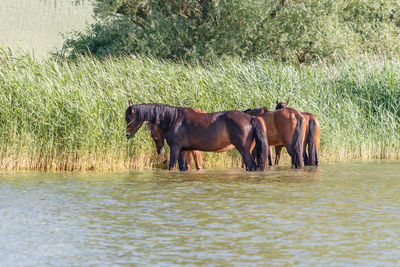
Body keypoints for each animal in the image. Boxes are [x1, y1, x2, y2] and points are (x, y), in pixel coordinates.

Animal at [126, 101, 268, 173]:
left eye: (128, 118)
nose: (127, 135)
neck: (174, 119)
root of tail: (250, 118)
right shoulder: (182, 150)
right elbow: (182, 167)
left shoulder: (175, 148)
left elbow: (171, 165)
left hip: (244, 149)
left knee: (251, 165)